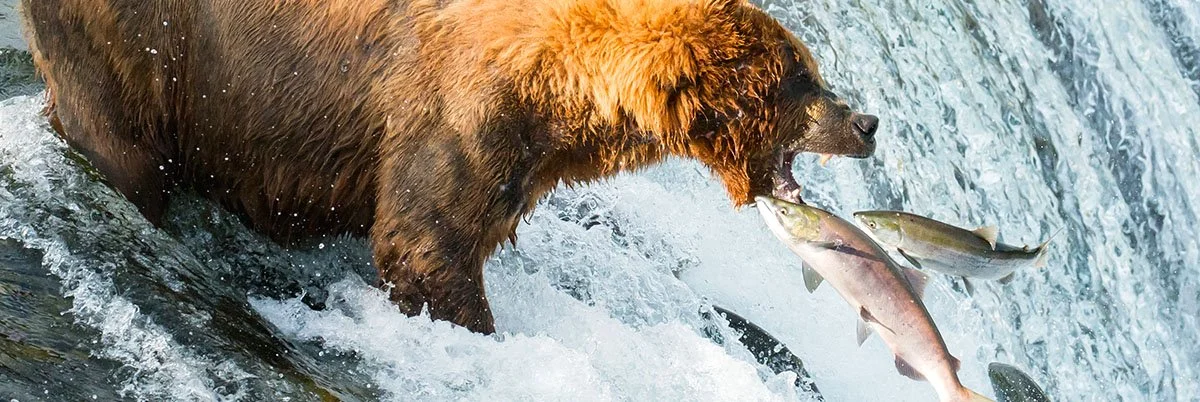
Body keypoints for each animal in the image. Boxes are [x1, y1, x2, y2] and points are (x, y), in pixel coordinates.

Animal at [22, 0, 878, 334]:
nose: (867, 121)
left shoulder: (518, 164)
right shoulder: (458, 115)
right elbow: (427, 242)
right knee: (121, 147)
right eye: (805, 77)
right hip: (143, 45)